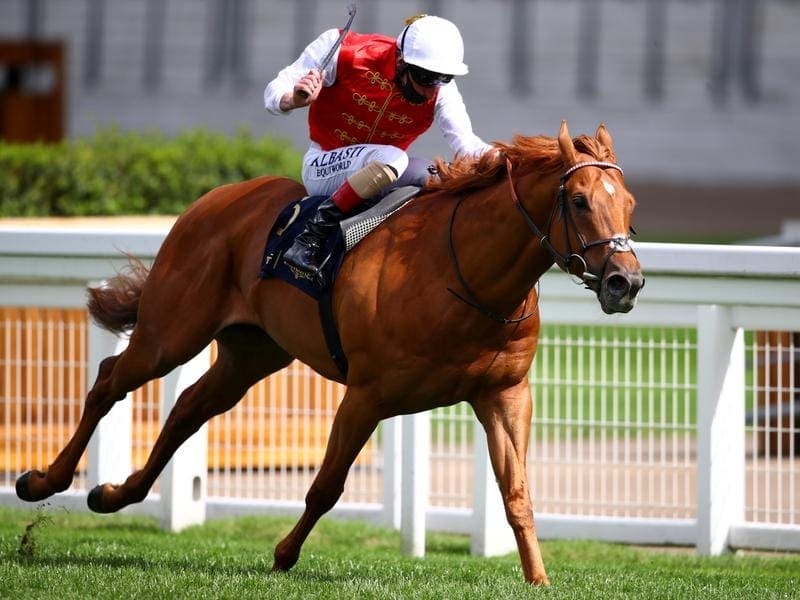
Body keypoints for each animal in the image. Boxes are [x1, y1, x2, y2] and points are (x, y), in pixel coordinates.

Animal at [15, 119, 644, 584]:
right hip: (171, 332)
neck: (462, 272)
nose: (626, 282)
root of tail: (212, 200)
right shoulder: (368, 394)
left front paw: (538, 578)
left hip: (252, 354)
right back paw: (42, 482)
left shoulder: (503, 394)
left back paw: (115, 493)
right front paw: (282, 555)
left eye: (631, 205)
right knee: (109, 380)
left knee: (188, 408)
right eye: (580, 201)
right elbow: (327, 485)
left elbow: (517, 493)